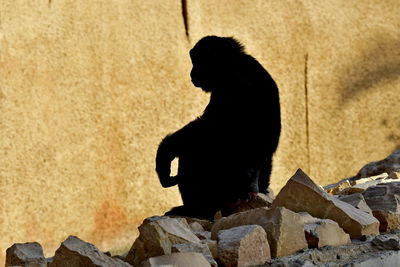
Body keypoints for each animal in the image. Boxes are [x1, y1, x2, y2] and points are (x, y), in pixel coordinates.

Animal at [155, 35, 280, 220]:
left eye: (198, 61)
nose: (192, 72)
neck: (234, 65)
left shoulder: (232, 86)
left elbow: (208, 129)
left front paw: (164, 154)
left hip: (226, 189)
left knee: (192, 152)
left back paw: (196, 210)